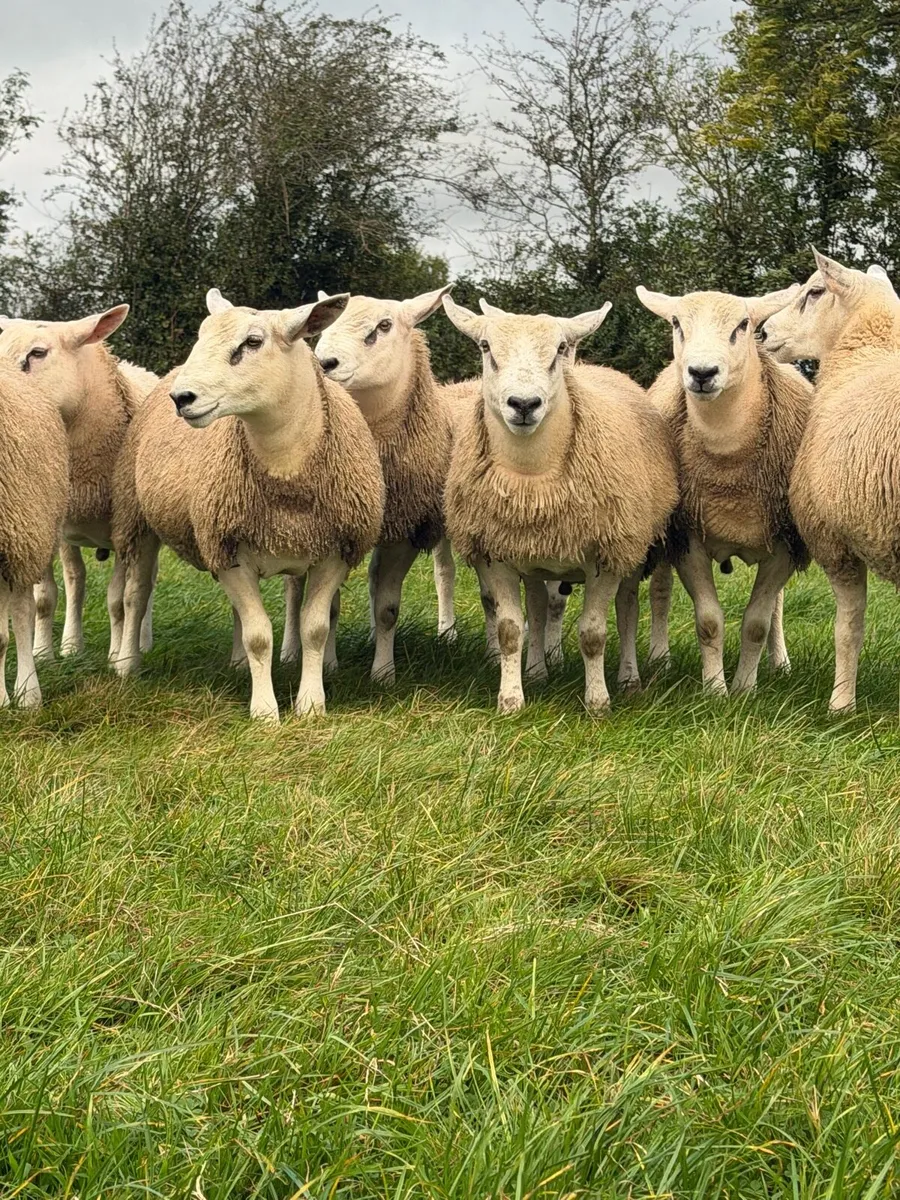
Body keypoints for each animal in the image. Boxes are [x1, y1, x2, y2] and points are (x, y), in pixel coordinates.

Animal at [0, 309, 159, 661]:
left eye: (37, 353)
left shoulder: (124, 528)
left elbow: (117, 600)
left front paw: (117, 656)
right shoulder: (44, 523)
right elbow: (45, 597)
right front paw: (43, 653)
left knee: (147, 583)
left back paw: (141, 642)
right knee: (76, 580)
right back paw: (72, 645)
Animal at [111, 290, 384, 721]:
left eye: (253, 342)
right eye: (201, 336)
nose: (182, 398)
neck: (286, 473)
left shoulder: (335, 552)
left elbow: (314, 629)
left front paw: (311, 705)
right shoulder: (229, 550)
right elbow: (260, 636)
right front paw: (265, 712)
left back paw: (238, 664)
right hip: (136, 518)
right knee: (135, 595)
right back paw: (127, 665)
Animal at [311, 286, 455, 683]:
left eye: (384, 325)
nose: (323, 363)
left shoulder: (403, 530)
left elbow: (388, 607)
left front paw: (383, 673)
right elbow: (328, 606)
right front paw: (328, 666)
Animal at [441, 297, 679, 713]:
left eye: (560, 348)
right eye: (485, 347)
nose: (523, 404)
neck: (531, 477)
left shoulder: (605, 554)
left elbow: (593, 634)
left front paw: (598, 702)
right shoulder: (498, 554)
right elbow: (508, 629)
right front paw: (510, 700)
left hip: (631, 546)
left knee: (627, 610)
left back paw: (629, 678)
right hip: (536, 553)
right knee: (537, 608)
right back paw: (537, 670)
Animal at [636, 283, 812, 694]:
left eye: (743, 324)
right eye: (676, 323)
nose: (702, 373)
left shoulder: (783, 543)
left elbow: (757, 623)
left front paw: (745, 689)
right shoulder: (688, 538)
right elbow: (709, 621)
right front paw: (715, 690)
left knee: (778, 606)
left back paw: (780, 664)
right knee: (660, 591)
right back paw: (659, 659)